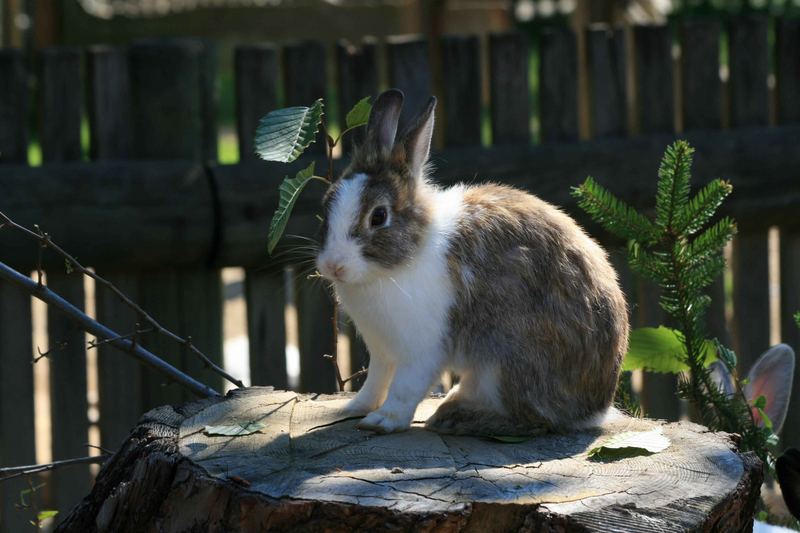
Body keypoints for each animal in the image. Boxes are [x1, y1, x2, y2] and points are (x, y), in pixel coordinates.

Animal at [316, 89, 628, 434]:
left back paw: (456, 416)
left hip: (505, 364)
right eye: (326, 205)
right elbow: (376, 380)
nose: (332, 266)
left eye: (379, 216)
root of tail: (595, 409)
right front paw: (355, 408)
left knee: (534, 420)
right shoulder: (383, 351)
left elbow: (405, 388)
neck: (406, 256)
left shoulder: (422, 350)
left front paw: (383, 421)